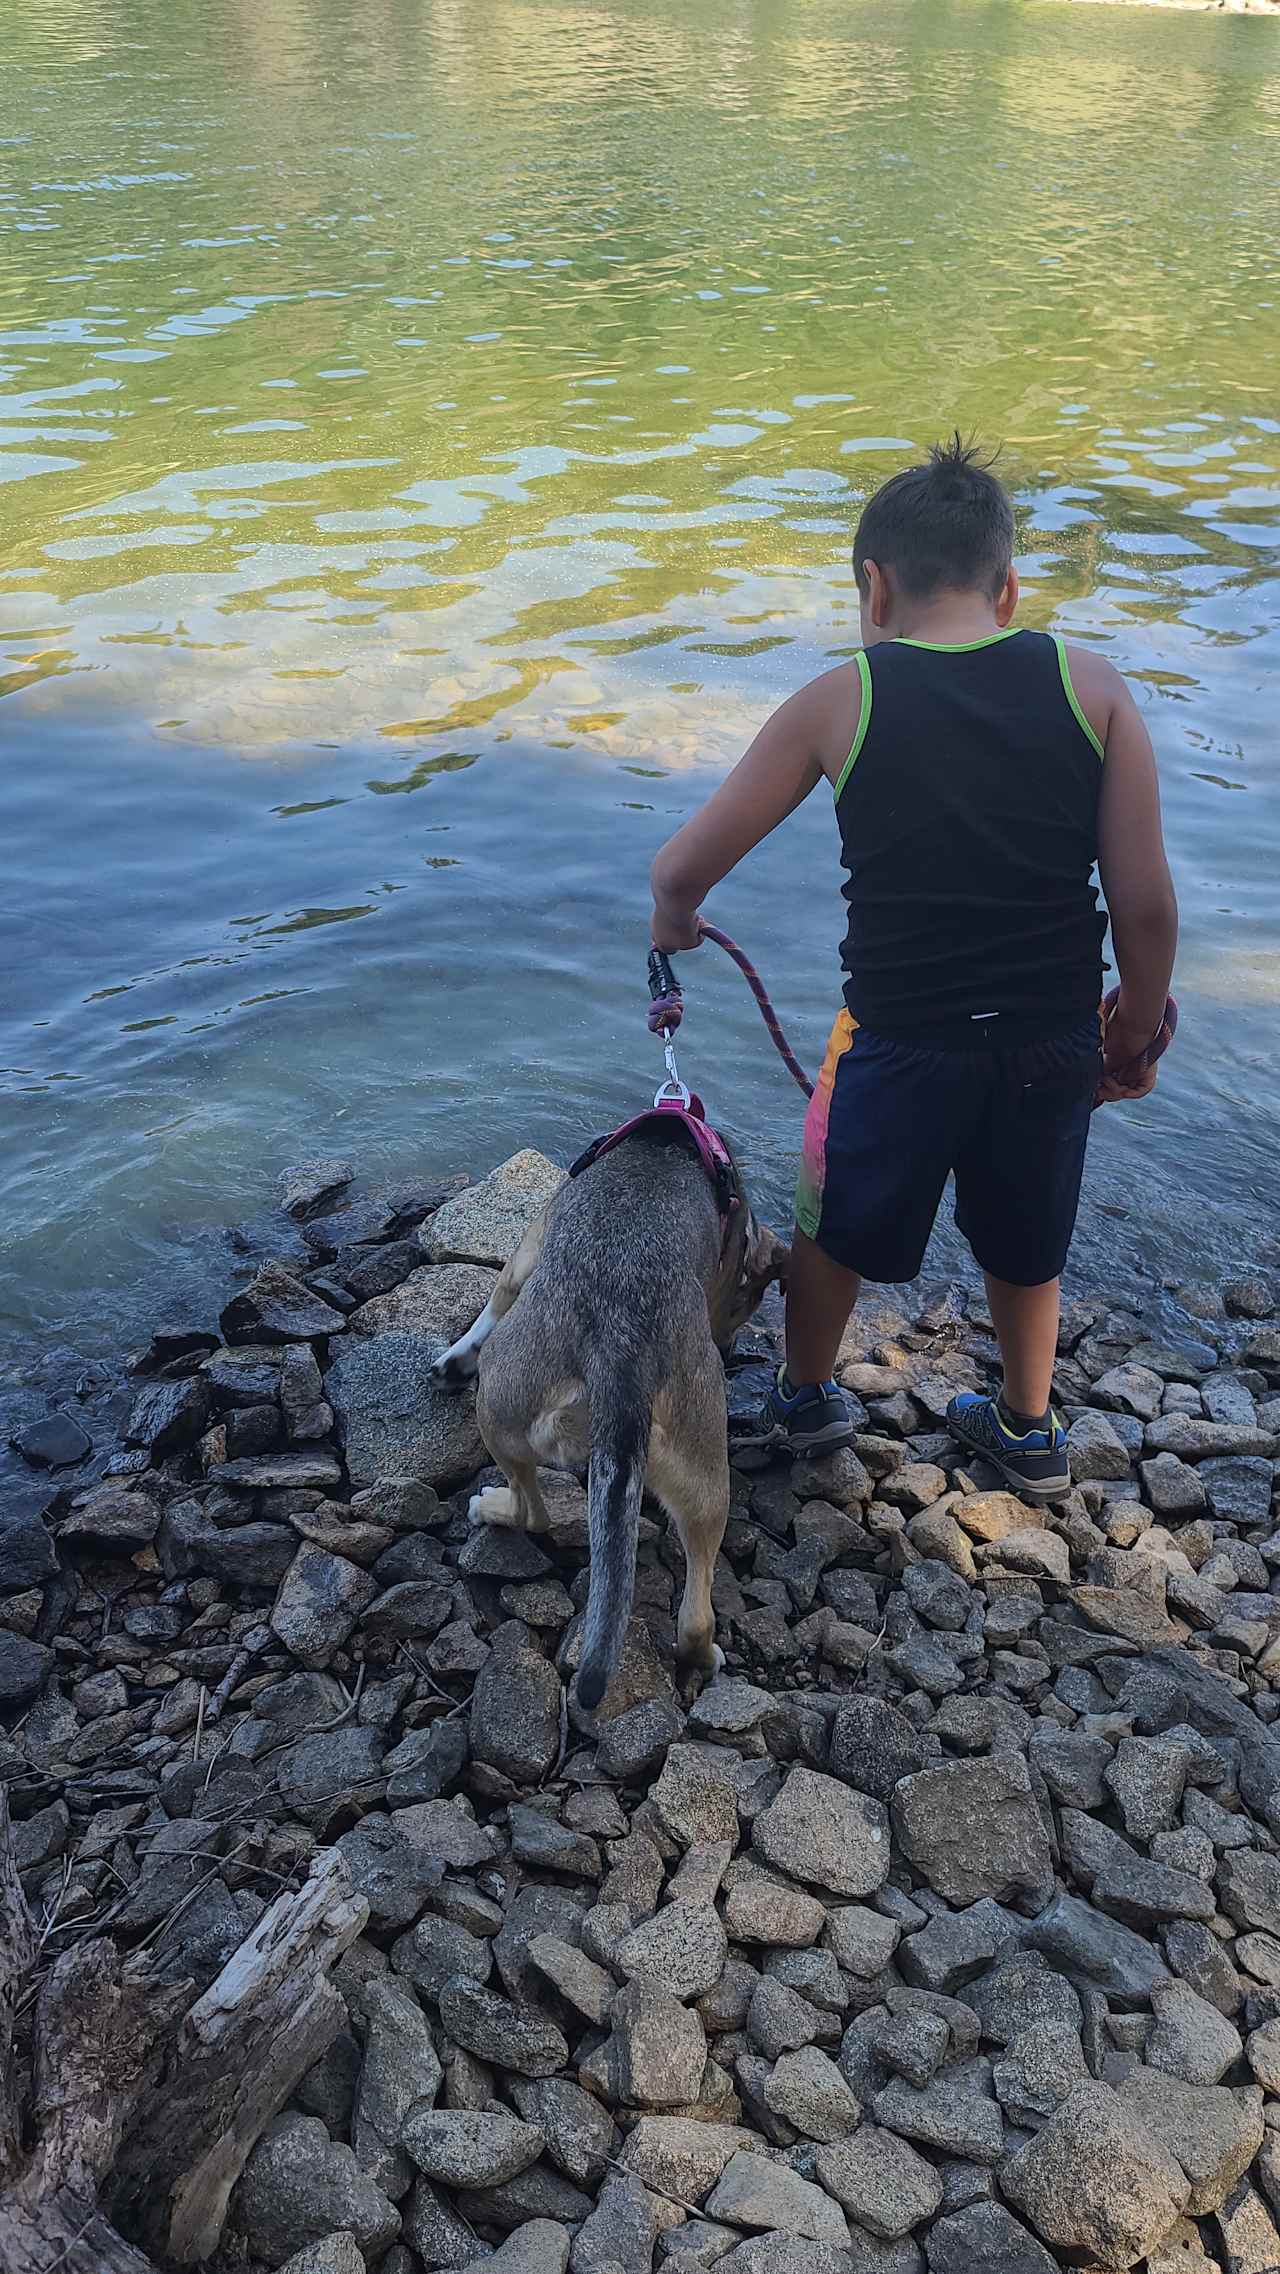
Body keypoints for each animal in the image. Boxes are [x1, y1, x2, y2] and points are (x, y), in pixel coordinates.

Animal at [436, 1118, 786, 1710]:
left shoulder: (528, 1248)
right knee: (696, 1613)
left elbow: (494, 1302)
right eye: (743, 1308)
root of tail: (620, 1348)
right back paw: (701, 1655)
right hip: (703, 1482)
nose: (730, 1348)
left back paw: (492, 1508)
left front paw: (452, 1359)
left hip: (500, 1401)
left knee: (533, 1511)